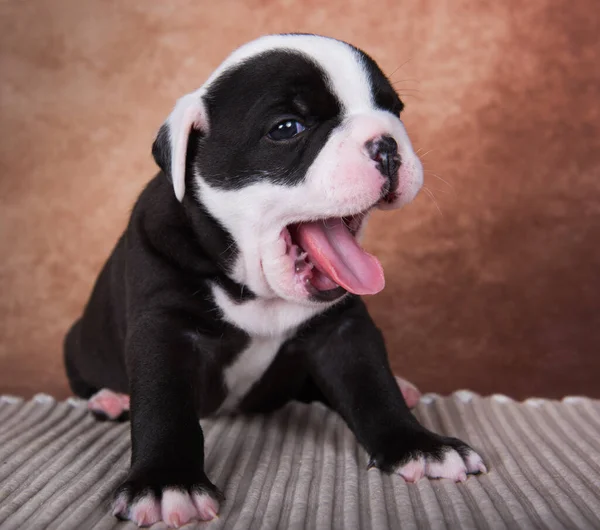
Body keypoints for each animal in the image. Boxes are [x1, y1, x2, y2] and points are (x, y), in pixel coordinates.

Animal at [64, 35, 488, 524]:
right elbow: (162, 404)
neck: (257, 289)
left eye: (394, 110)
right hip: (78, 343)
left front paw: (420, 446)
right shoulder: (165, 329)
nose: (386, 144)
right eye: (287, 128)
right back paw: (110, 398)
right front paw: (166, 482)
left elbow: (372, 385)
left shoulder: (342, 331)